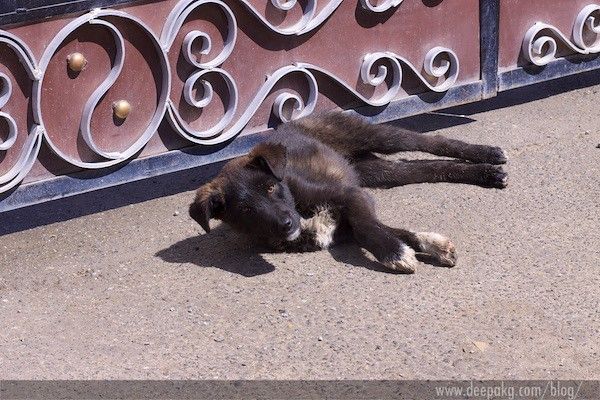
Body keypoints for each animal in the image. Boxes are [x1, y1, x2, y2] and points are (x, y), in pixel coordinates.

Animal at [189, 114, 506, 274]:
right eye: (245, 210)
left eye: (271, 187)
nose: (286, 224)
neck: (299, 209)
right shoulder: (346, 218)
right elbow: (392, 229)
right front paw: (431, 245)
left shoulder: (352, 196)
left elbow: (368, 228)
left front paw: (394, 253)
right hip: (379, 172)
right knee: (425, 168)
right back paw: (486, 173)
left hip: (375, 137)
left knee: (430, 141)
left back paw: (487, 155)